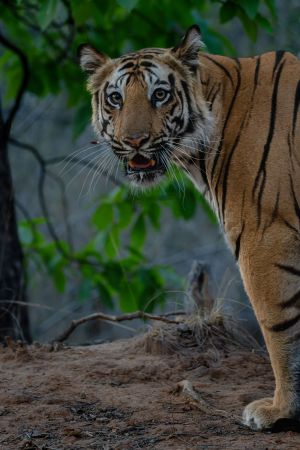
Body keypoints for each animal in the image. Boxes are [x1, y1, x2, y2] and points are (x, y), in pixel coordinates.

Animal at [78, 25, 300, 432]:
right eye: (116, 98)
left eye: (160, 95)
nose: (134, 141)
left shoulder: (265, 238)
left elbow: (278, 326)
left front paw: (281, 410)